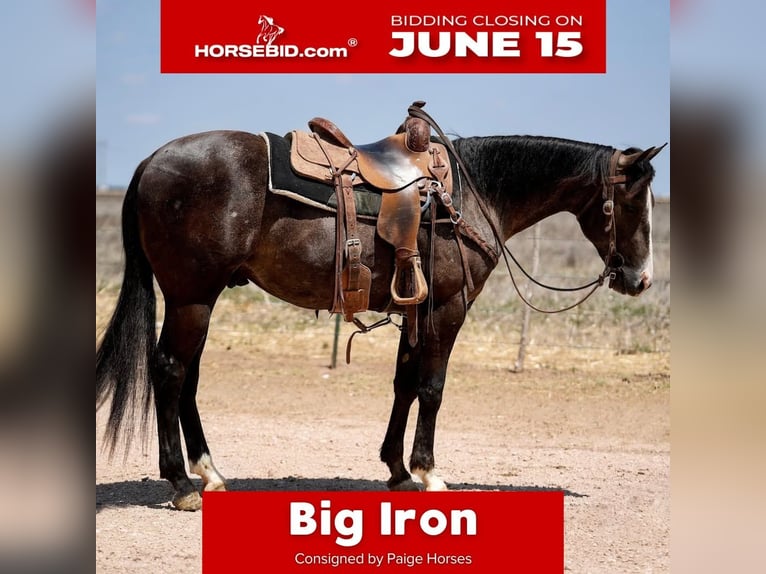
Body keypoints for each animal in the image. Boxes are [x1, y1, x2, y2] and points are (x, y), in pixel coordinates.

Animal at [96, 116, 665, 511]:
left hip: (199, 299)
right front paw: (429, 472)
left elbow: (404, 384)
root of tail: (151, 162)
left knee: (186, 377)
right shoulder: (447, 310)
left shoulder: (416, 310)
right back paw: (181, 483)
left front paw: (398, 469)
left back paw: (209, 473)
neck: (473, 194)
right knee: (170, 371)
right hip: (191, 297)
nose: (640, 279)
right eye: (634, 201)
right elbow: (432, 389)